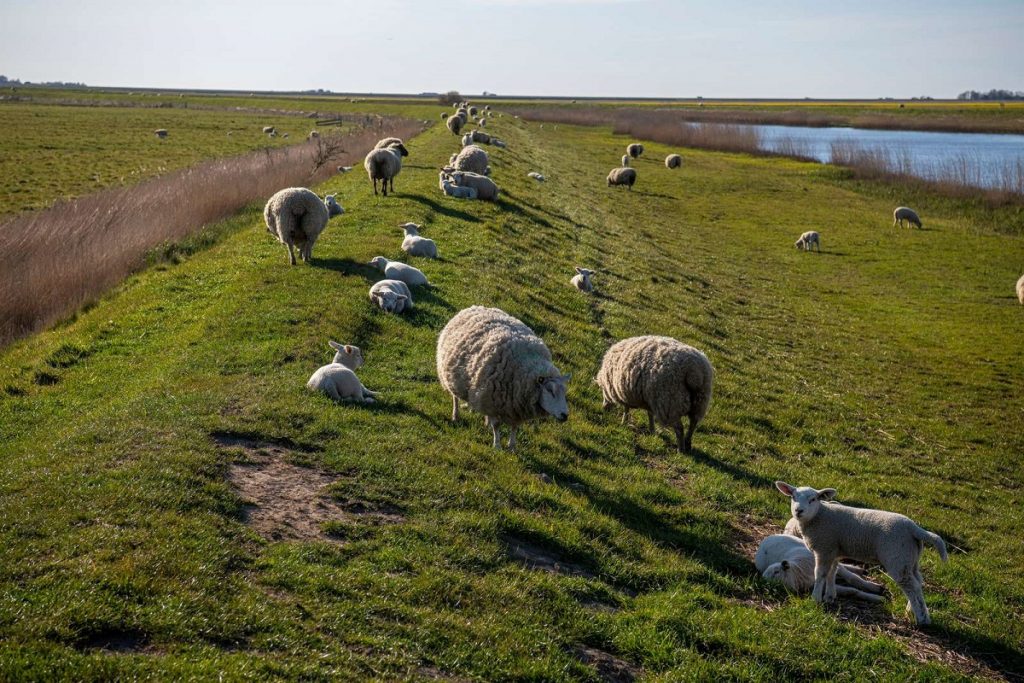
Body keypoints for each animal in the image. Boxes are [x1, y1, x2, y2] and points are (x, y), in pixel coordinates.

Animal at [436, 307, 573, 450]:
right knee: (455, 398)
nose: (565, 415)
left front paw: (512, 446)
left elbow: (514, 426)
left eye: (564, 392)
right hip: (451, 376)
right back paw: (455, 415)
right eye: (550, 390)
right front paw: (497, 445)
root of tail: (473, 307)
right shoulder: (493, 401)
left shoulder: (515, 408)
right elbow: (496, 425)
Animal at [753, 532, 888, 602]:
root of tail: (762, 544)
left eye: (776, 571)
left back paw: (858, 569)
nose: (784, 563)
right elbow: (850, 591)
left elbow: (853, 578)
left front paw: (875, 588)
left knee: (843, 566)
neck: (799, 570)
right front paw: (878, 598)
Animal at [774, 481, 950, 626]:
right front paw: (830, 596)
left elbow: (821, 574)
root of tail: (914, 528)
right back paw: (910, 610)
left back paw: (922, 620)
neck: (820, 515)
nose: (798, 511)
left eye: (813, 499)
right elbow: (832, 573)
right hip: (910, 558)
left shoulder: (824, 548)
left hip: (897, 557)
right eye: (793, 497)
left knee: (912, 586)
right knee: (918, 582)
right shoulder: (834, 550)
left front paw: (816, 599)